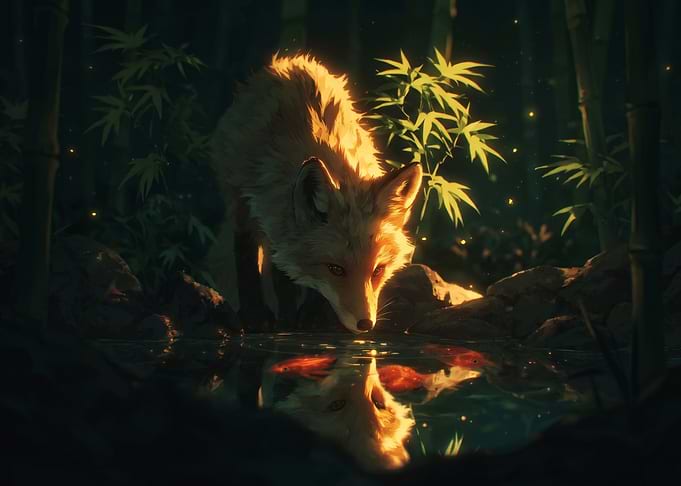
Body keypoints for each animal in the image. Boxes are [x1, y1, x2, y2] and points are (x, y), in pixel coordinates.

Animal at [212, 54, 422, 333]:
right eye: (336, 269)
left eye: (378, 270)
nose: (365, 324)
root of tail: (292, 60)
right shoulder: (257, 206)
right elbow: (261, 266)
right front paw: (265, 317)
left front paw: (312, 314)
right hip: (237, 196)